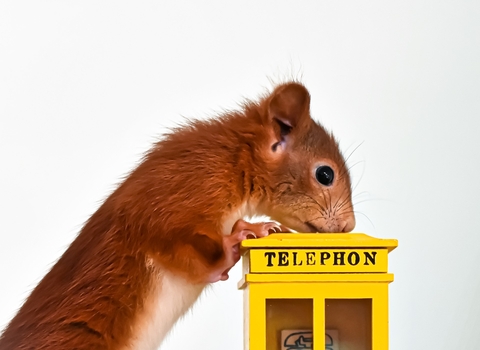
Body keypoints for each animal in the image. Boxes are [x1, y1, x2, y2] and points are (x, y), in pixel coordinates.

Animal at [0, 82, 356, 350]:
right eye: (325, 174)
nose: (350, 226)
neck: (234, 161)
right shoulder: (179, 195)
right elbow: (180, 249)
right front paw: (242, 236)